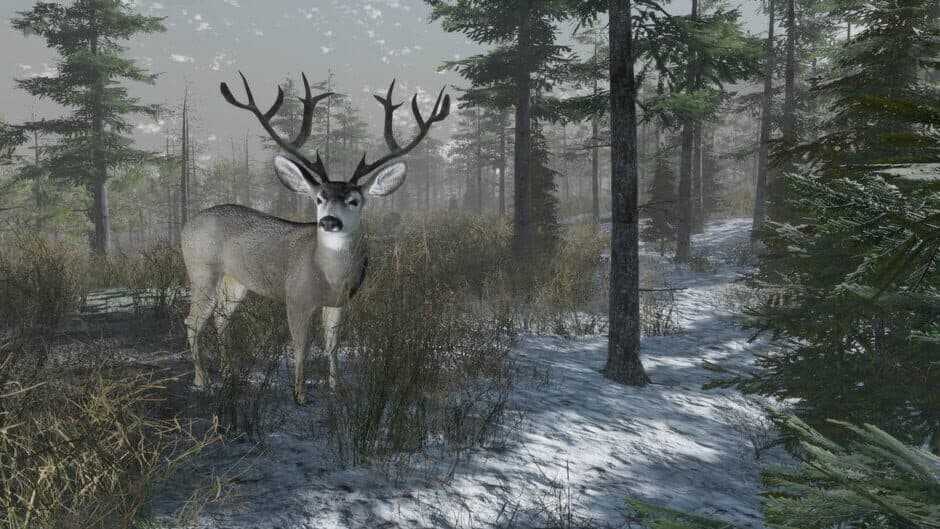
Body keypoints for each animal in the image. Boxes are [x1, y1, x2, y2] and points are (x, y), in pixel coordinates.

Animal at [181, 72, 450, 404]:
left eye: (354, 201)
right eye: (319, 198)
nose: (329, 221)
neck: (329, 274)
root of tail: (187, 224)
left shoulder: (339, 302)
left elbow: (332, 343)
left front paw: (338, 387)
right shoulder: (296, 297)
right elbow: (301, 346)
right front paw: (301, 394)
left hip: (236, 281)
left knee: (221, 317)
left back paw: (229, 373)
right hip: (201, 270)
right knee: (193, 321)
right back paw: (202, 379)